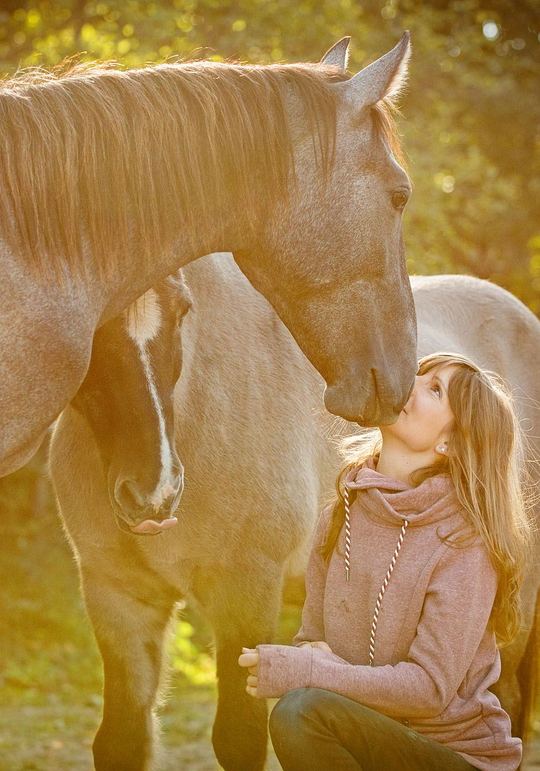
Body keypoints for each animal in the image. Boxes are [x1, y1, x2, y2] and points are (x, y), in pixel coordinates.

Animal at [50, 252, 540, 770]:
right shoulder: (117, 596)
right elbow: (122, 738)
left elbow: (240, 737)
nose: (153, 490)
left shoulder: (245, 592)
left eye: (183, 311)